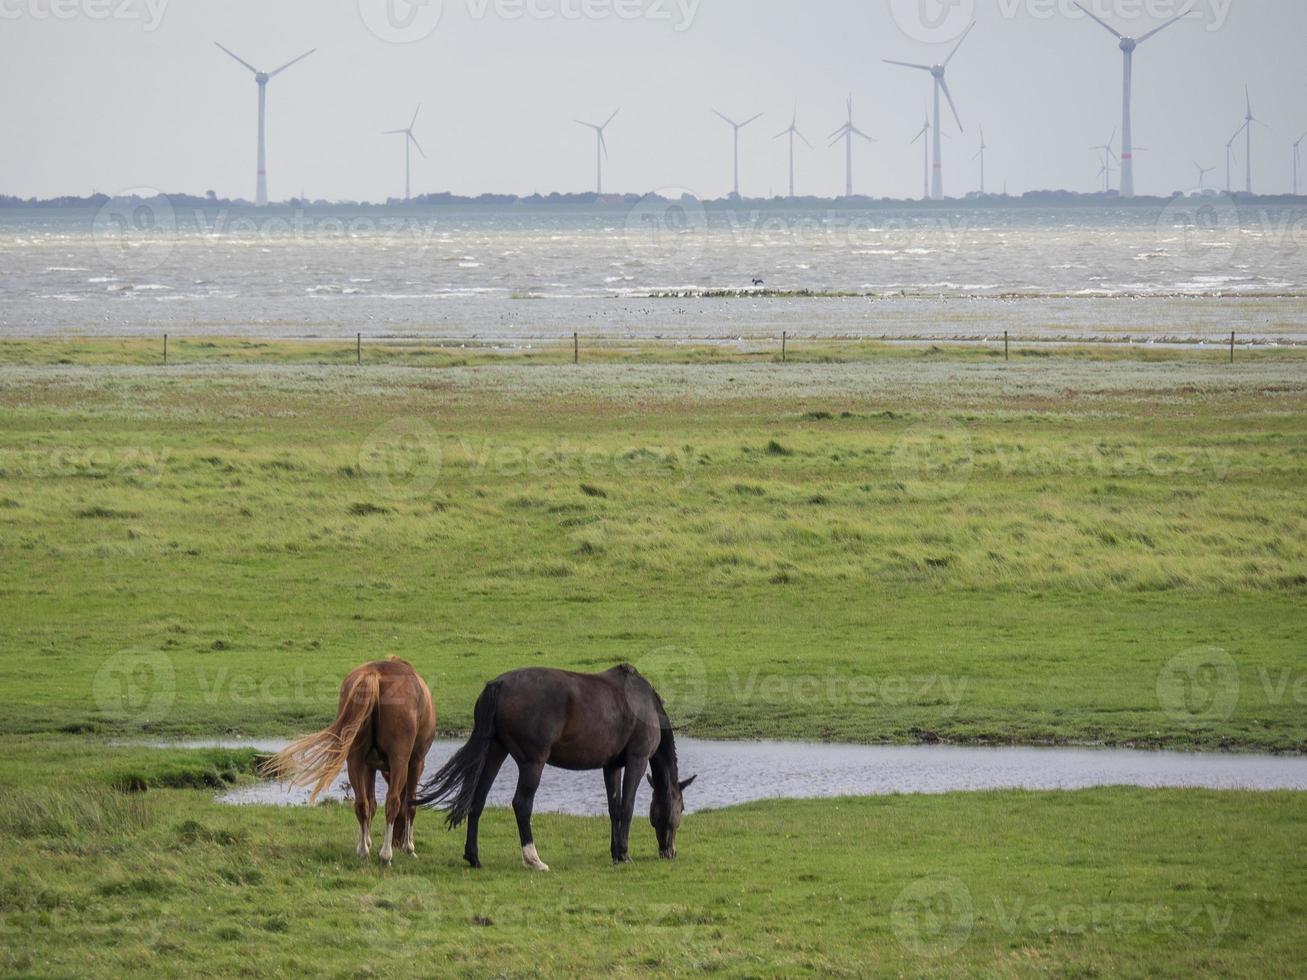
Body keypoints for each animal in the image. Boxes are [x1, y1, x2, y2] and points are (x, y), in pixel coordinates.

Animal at [258, 661, 433, 867]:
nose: (397, 842)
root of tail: (375, 674)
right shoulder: (416, 762)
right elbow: (409, 805)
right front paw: (409, 847)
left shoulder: (370, 766)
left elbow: (372, 804)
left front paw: (366, 841)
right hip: (398, 761)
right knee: (392, 802)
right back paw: (385, 855)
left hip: (354, 761)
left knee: (361, 804)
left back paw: (363, 851)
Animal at [420, 663, 700, 872]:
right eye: (681, 808)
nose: (670, 852)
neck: (645, 703)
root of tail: (498, 685)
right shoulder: (636, 760)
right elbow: (628, 807)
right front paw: (624, 854)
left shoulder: (611, 766)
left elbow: (614, 809)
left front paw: (615, 853)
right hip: (533, 763)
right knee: (521, 804)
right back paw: (534, 859)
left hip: (494, 753)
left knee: (477, 800)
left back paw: (474, 857)